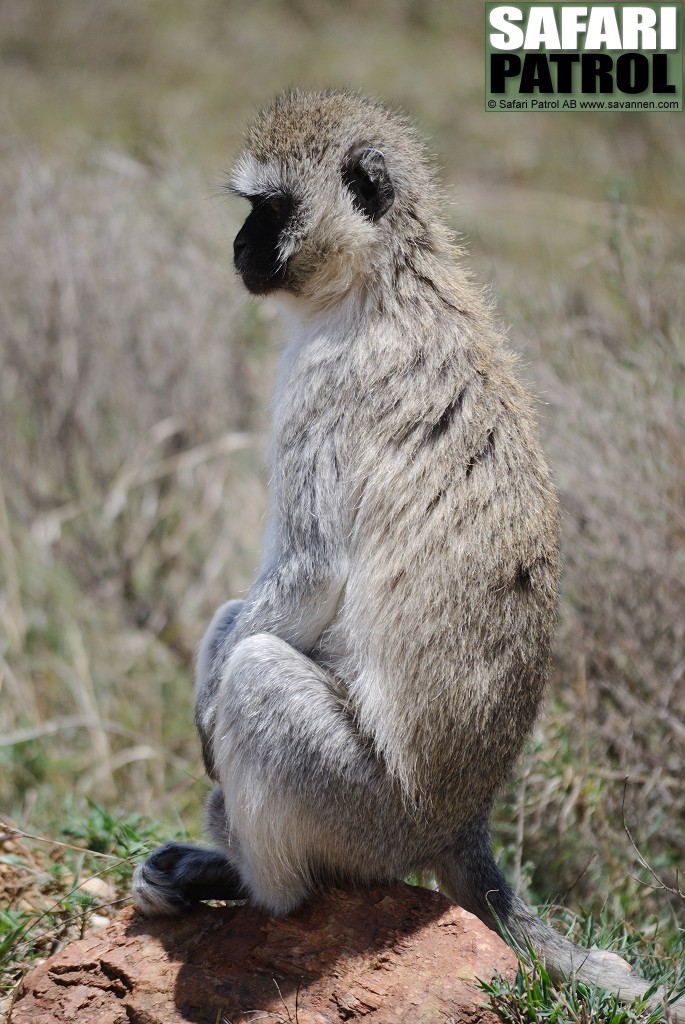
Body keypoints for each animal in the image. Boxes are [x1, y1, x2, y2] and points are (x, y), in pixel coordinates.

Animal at [132, 92, 679, 1019]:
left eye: (269, 208)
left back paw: (250, 885)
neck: (385, 276)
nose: (237, 248)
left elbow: (309, 570)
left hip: (364, 811)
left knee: (258, 673)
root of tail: (460, 820)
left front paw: (203, 718)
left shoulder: (322, 384)